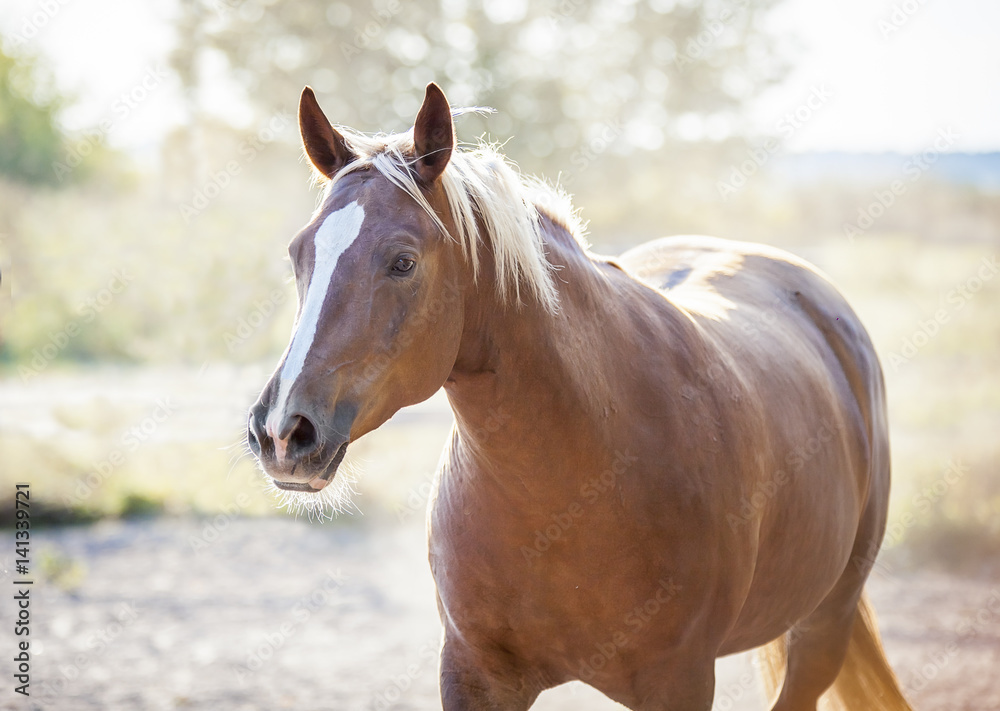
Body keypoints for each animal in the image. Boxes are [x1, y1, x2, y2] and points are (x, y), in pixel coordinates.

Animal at [247, 82, 912, 711]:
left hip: (825, 623)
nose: (281, 432)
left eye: (403, 262)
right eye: (298, 253)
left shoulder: (680, 682)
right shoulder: (475, 674)